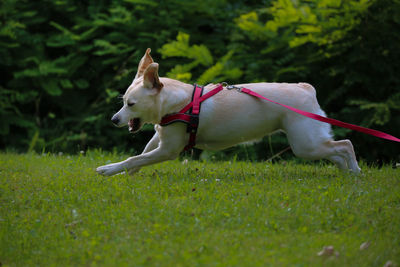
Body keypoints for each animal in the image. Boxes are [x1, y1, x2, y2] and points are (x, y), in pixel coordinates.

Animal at [95, 49, 360, 177]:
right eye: (123, 102)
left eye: (131, 104)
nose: (114, 119)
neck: (178, 103)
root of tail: (307, 88)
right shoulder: (161, 137)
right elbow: (141, 154)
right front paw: (129, 173)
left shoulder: (169, 150)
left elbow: (136, 157)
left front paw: (110, 169)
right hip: (312, 141)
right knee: (336, 152)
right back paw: (345, 175)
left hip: (304, 144)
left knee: (345, 145)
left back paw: (356, 174)